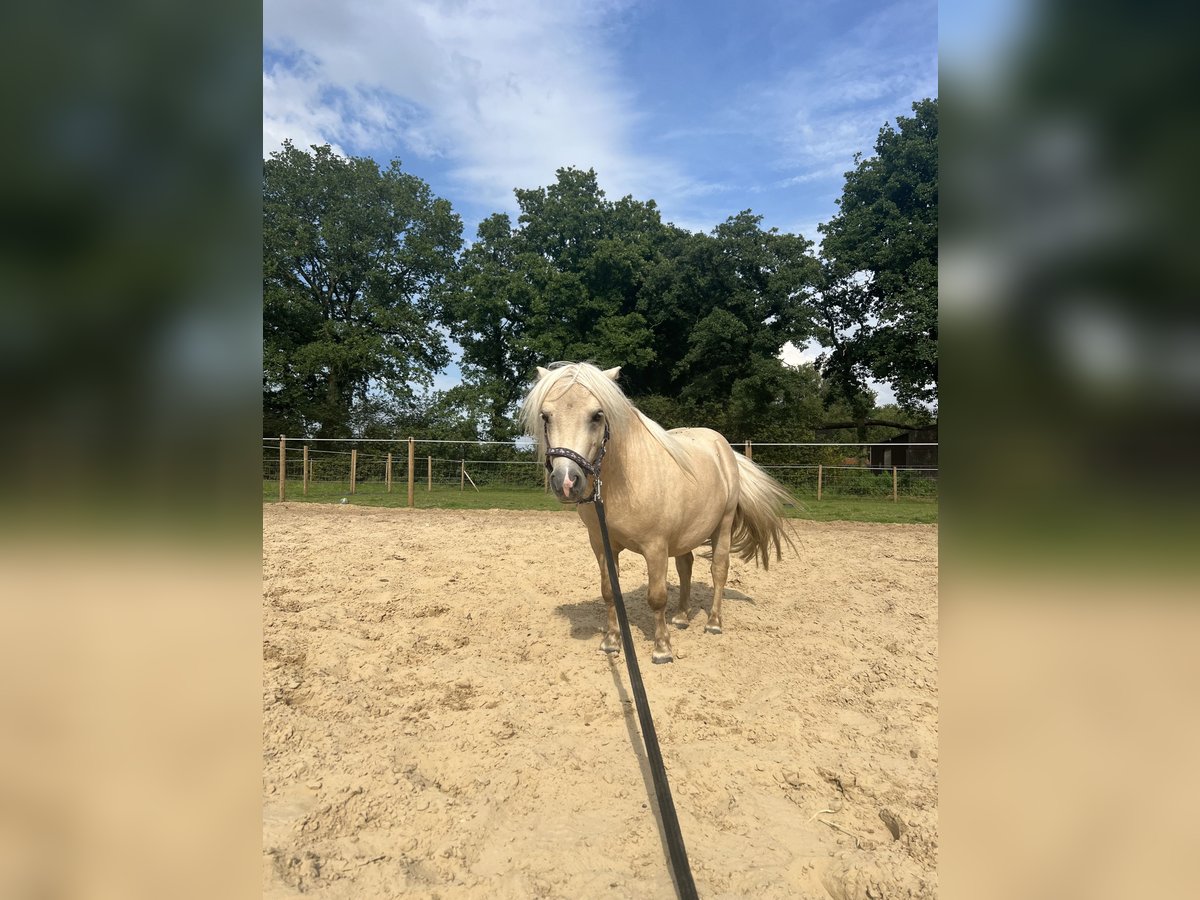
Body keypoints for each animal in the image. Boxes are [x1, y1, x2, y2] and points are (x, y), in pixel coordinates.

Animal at [523, 362, 796, 667]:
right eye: (545, 416)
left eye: (597, 415)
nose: (567, 482)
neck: (624, 481)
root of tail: (723, 448)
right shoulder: (601, 544)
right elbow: (609, 592)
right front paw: (611, 642)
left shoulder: (655, 547)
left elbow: (657, 597)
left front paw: (662, 648)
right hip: (684, 535)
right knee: (686, 567)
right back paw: (681, 617)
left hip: (722, 527)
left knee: (718, 570)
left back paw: (713, 622)